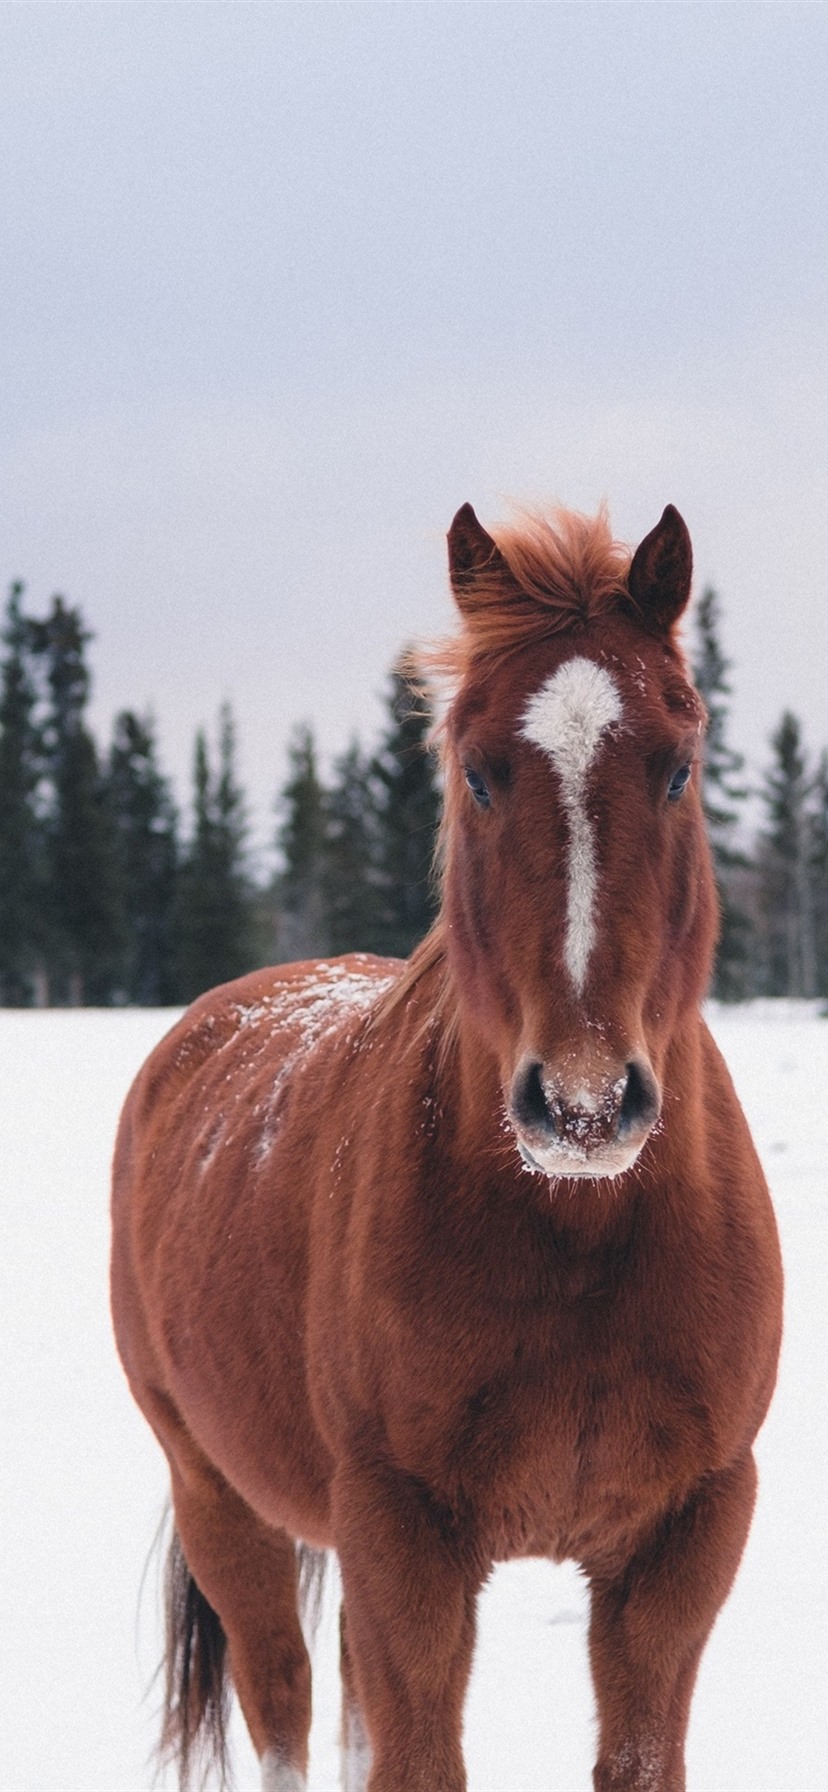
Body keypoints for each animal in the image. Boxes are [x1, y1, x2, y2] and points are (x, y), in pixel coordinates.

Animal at [111, 499, 782, 1792]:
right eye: (476, 771)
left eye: (679, 766)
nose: (583, 1104)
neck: (579, 1242)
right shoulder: (401, 1540)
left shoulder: (683, 1544)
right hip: (222, 1499)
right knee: (285, 1704)